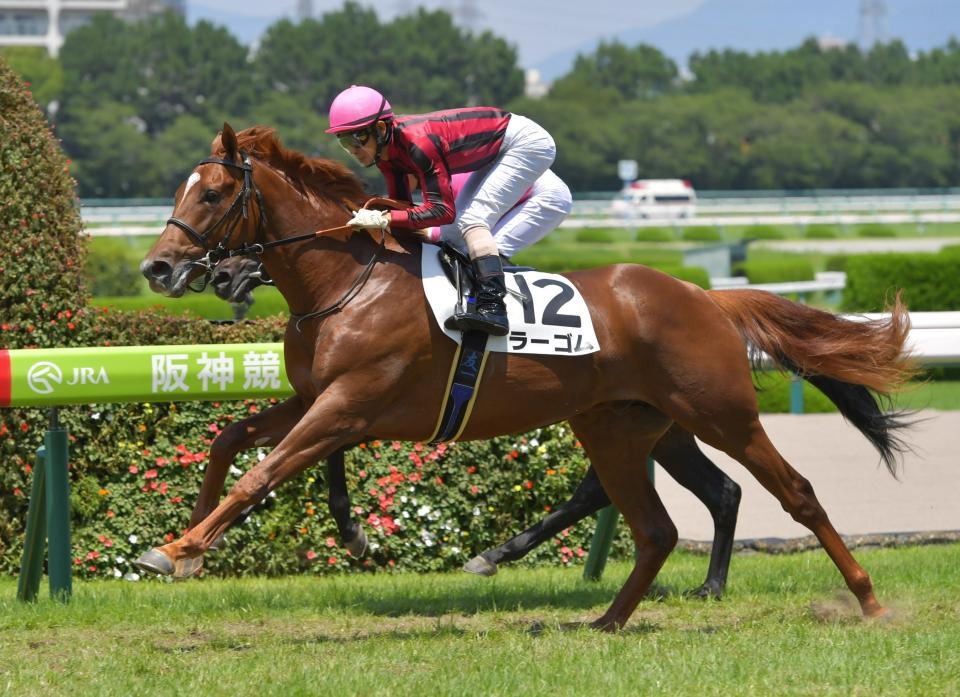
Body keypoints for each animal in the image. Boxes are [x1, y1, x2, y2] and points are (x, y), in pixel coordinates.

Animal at [139, 125, 912, 632]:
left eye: (213, 194)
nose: (158, 267)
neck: (346, 281)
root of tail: (705, 297)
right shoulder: (315, 397)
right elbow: (230, 440)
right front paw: (183, 539)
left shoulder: (351, 402)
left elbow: (262, 473)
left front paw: (182, 549)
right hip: (627, 426)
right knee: (659, 525)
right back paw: (607, 620)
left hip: (722, 414)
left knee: (795, 494)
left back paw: (870, 600)